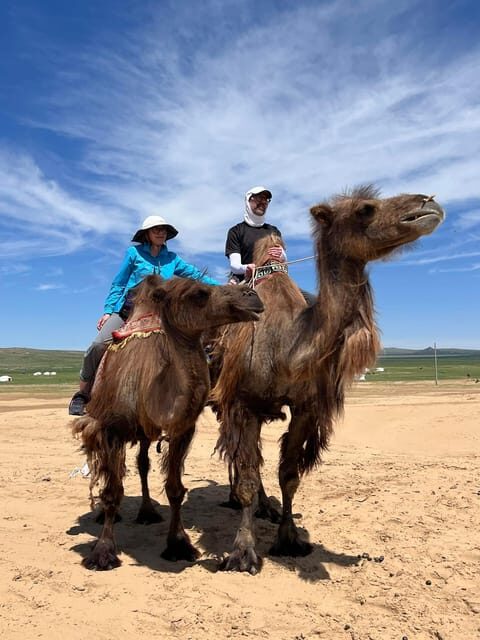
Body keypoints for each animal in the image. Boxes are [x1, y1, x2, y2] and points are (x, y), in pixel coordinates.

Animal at [72, 274, 263, 570]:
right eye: (200, 293)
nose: (251, 295)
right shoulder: (112, 429)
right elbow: (113, 492)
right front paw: (102, 552)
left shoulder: (182, 429)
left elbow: (175, 489)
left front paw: (178, 544)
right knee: (106, 470)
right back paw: (106, 515)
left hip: (144, 433)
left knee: (142, 463)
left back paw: (148, 512)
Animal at [211, 186, 445, 574]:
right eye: (366, 209)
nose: (429, 203)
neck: (287, 343)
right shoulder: (243, 403)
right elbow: (247, 476)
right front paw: (242, 553)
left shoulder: (306, 406)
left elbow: (289, 474)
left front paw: (289, 539)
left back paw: (265, 507)